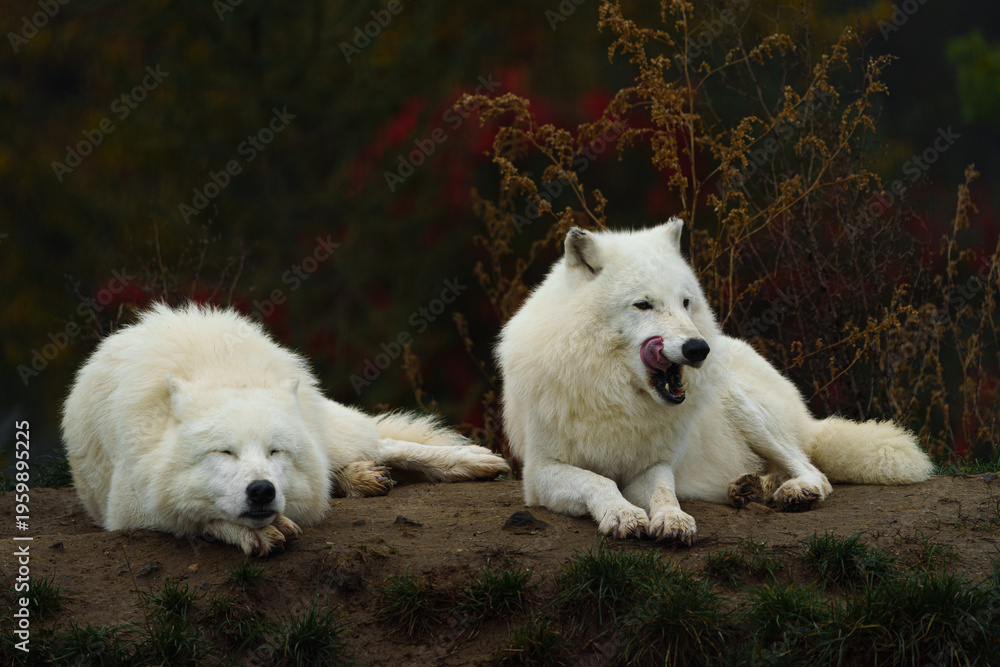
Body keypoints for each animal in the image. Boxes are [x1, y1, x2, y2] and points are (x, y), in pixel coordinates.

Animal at [63, 303, 509, 555]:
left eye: (275, 451)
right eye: (225, 452)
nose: (261, 490)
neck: (226, 375)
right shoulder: (127, 507)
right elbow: (193, 516)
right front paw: (255, 532)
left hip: (329, 429)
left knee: (378, 443)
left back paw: (471, 461)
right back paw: (359, 477)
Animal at [497, 219, 932, 545]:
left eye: (686, 302)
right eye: (643, 304)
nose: (698, 348)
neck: (615, 394)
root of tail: (807, 418)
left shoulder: (654, 464)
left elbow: (663, 491)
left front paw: (672, 519)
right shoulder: (539, 472)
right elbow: (599, 480)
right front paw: (623, 513)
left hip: (743, 409)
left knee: (814, 472)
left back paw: (792, 491)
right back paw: (749, 487)